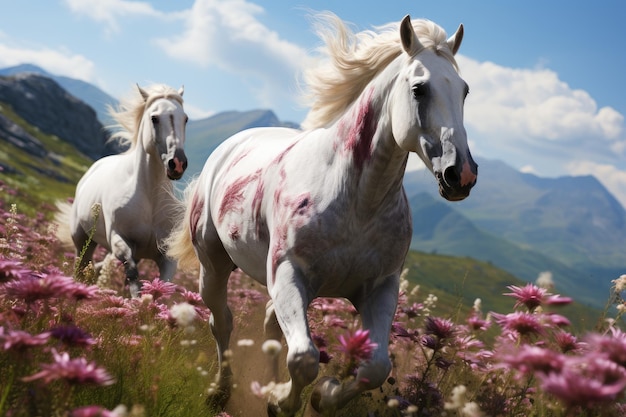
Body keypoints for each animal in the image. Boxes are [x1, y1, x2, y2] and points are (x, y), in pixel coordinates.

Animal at [60, 83, 188, 294]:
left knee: (96, 266)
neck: (151, 199)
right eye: (154, 118)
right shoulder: (120, 241)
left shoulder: (167, 258)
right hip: (82, 238)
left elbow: (162, 288)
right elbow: (134, 278)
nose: (177, 163)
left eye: (185, 119)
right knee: (81, 265)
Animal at [168, 13, 476, 416]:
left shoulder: (379, 288)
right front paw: (282, 402)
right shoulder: (289, 274)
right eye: (419, 89)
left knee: (270, 328)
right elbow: (304, 359)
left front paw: (320, 395)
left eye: (464, 91)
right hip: (215, 265)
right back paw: (220, 391)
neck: (357, 204)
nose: (461, 175)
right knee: (222, 323)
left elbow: (375, 368)